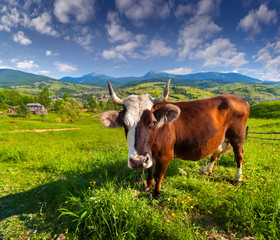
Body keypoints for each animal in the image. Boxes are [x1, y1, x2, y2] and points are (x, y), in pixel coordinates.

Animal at [100, 79, 249, 198]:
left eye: (153, 123)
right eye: (125, 124)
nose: (137, 161)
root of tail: (239, 99)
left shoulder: (165, 155)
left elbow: (158, 175)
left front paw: (155, 194)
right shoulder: (149, 155)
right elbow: (149, 170)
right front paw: (148, 186)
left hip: (237, 136)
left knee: (239, 155)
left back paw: (238, 178)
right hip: (221, 137)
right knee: (216, 153)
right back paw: (206, 170)